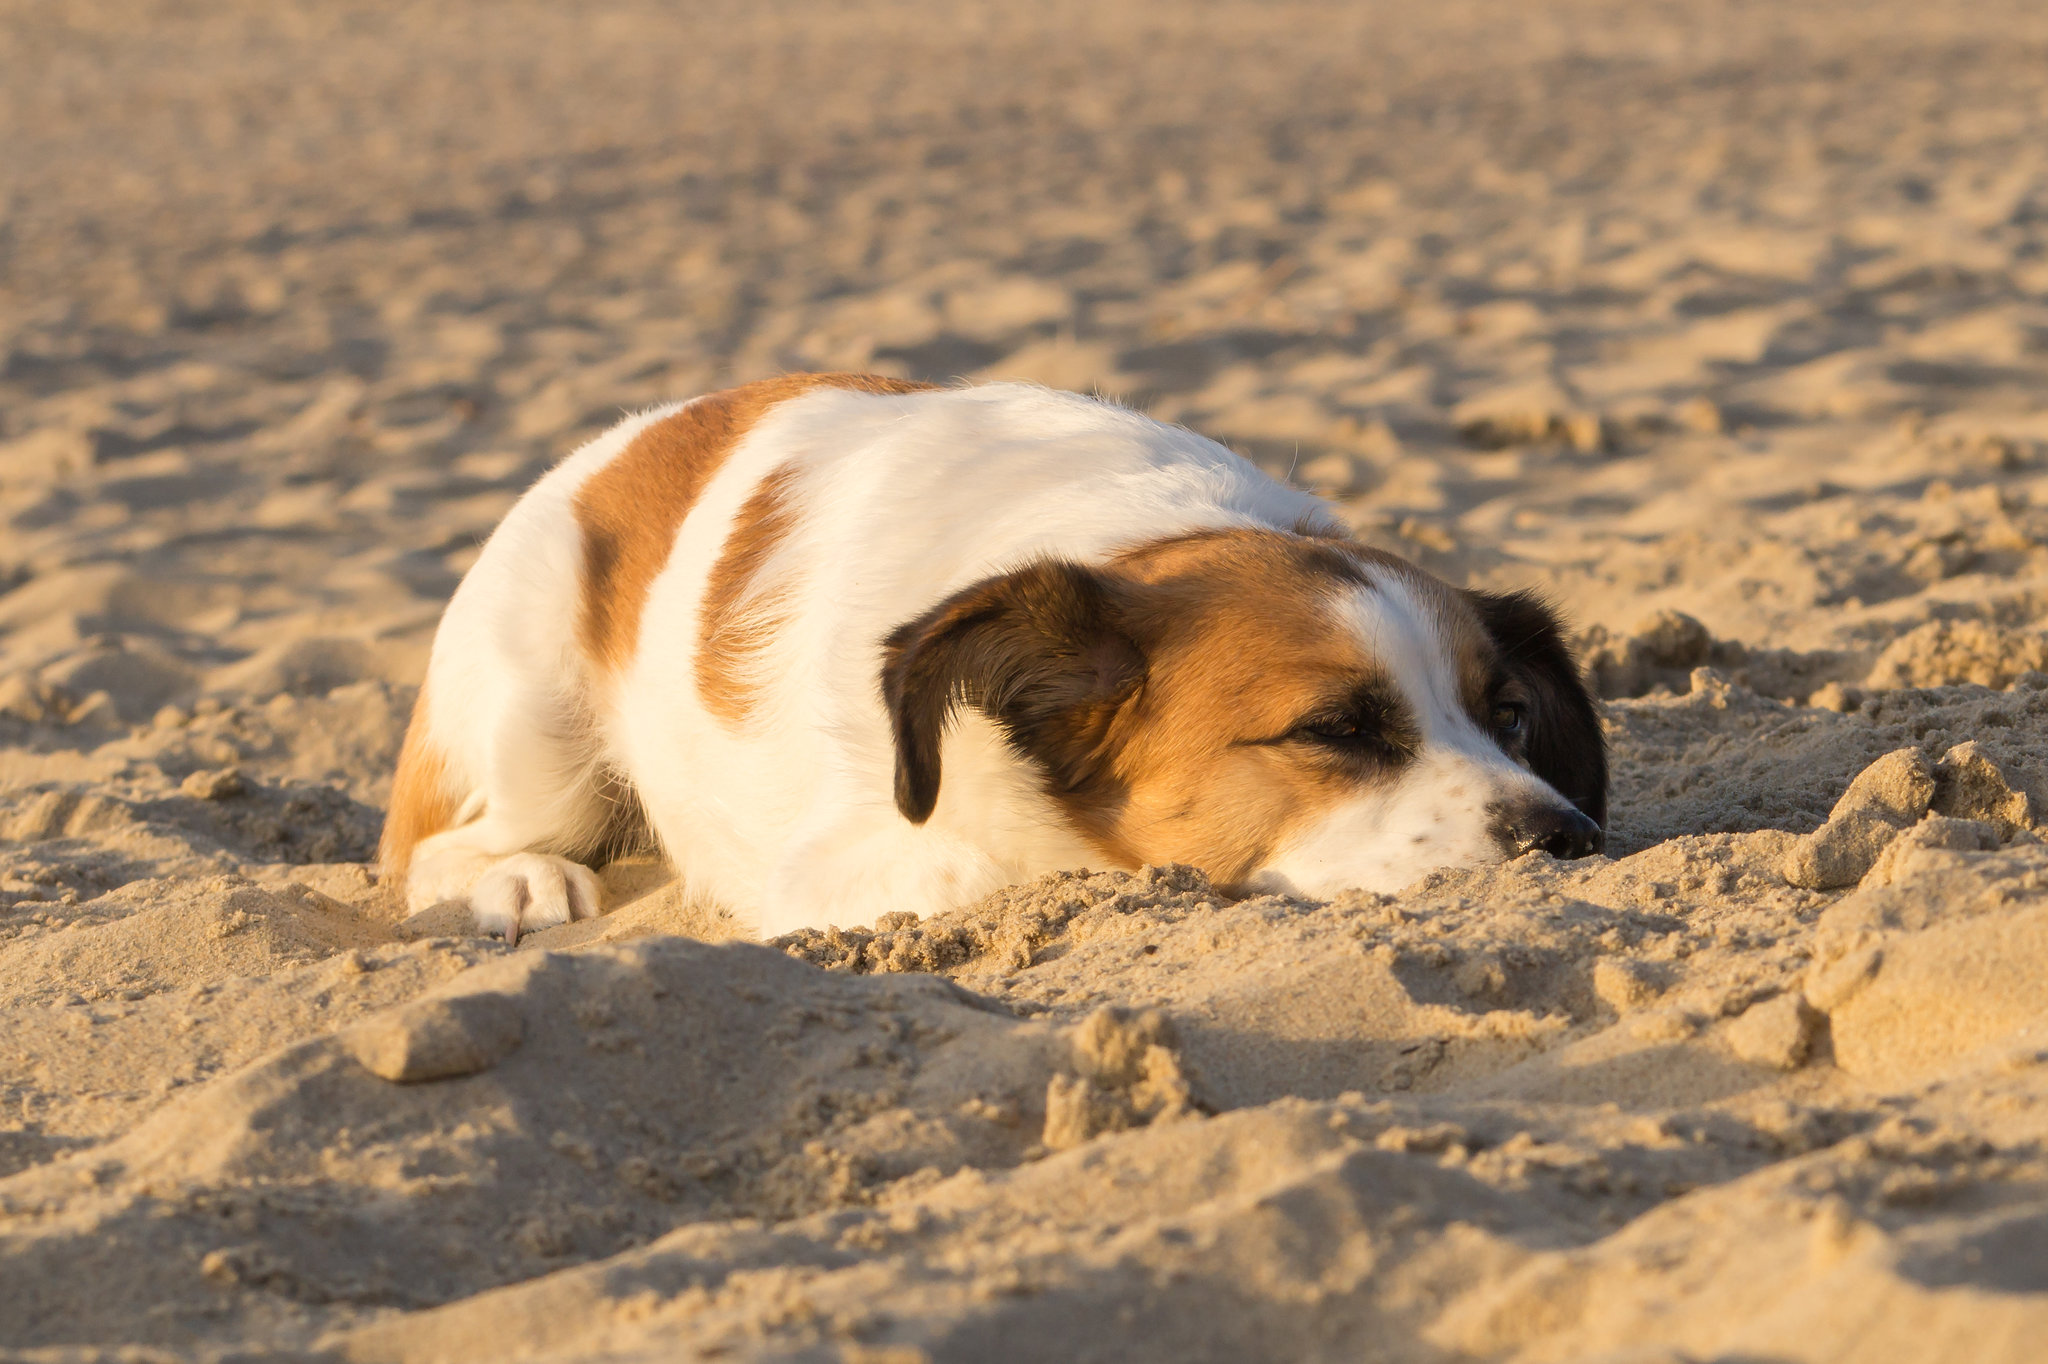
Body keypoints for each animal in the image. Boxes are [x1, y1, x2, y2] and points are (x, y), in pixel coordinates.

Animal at [376, 376, 1605, 942]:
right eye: (1335, 729)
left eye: (1506, 715)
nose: (1568, 837)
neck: (1143, 540)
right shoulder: (834, 869)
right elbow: (1024, 865)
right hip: (539, 716)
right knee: (438, 849)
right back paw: (522, 878)